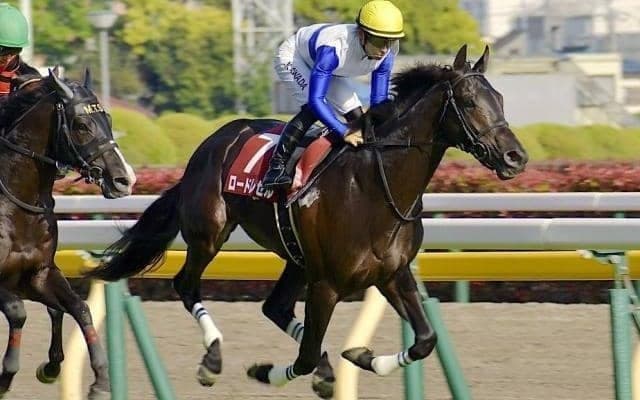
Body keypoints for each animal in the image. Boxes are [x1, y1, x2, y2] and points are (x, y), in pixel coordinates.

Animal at [0, 68, 135, 399]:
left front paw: (99, 380)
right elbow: (18, 312)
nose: (124, 180)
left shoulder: (39, 273)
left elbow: (80, 308)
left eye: (107, 118)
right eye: (81, 125)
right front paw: (6, 375)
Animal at [84, 44, 528, 398]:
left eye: (500, 98)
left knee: (275, 307)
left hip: (297, 258)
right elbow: (307, 354)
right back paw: (212, 359)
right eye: (468, 101)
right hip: (210, 234)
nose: (516, 157)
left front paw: (362, 356)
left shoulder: (393, 274)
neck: (375, 187)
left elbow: (425, 339)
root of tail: (213, 142)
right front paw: (267, 371)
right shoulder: (327, 284)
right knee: (187, 284)